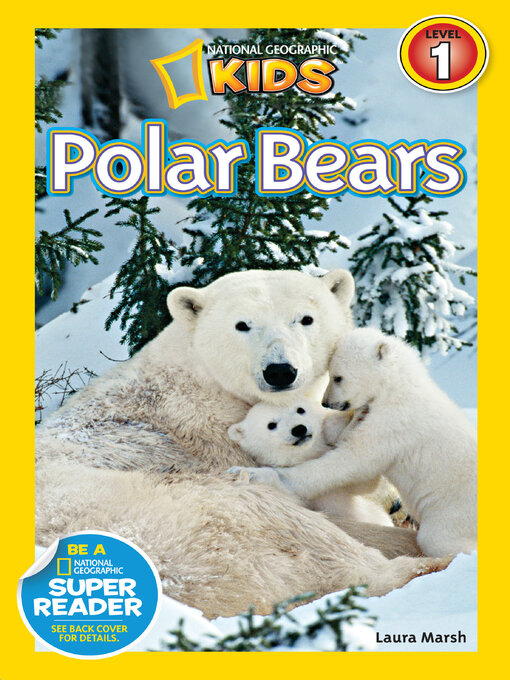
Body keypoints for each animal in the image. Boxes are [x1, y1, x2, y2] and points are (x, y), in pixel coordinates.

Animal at [227, 398, 395, 526]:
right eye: (271, 425)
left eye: (300, 410)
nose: (299, 429)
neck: (306, 455)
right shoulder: (310, 501)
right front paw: (246, 473)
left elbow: (364, 484)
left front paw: (357, 418)